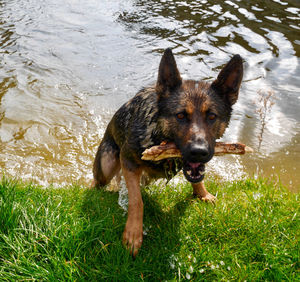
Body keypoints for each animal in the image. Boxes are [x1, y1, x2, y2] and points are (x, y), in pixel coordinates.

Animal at [92, 48, 243, 256]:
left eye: (212, 116)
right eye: (180, 115)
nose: (199, 152)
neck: (157, 133)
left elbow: (198, 179)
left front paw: (202, 194)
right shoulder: (128, 160)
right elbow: (137, 201)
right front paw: (133, 233)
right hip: (107, 164)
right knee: (98, 182)